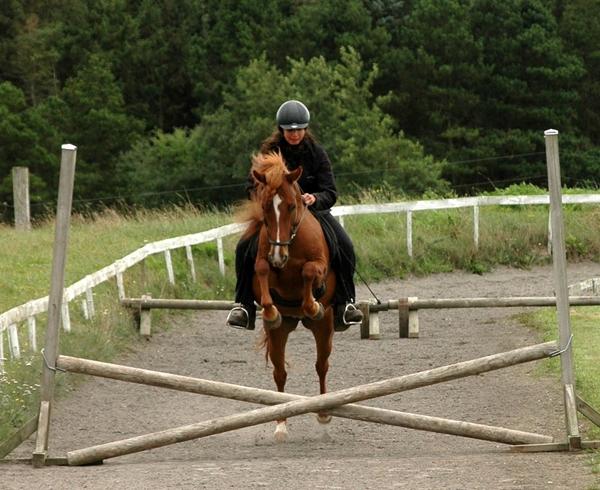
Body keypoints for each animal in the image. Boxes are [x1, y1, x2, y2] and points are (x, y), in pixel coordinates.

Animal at [239, 151, 336, 442]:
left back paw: (323, 413)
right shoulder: (263, 263)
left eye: (292, 206)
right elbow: (261, 268)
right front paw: (271, 312)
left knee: (321, 365)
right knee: (279, 373)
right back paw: (280, 424)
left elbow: (309, 271)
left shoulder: (318, 266)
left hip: (324, 327)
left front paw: (312, 304)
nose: (278, 256)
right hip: (280, 333)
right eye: (265, 207)